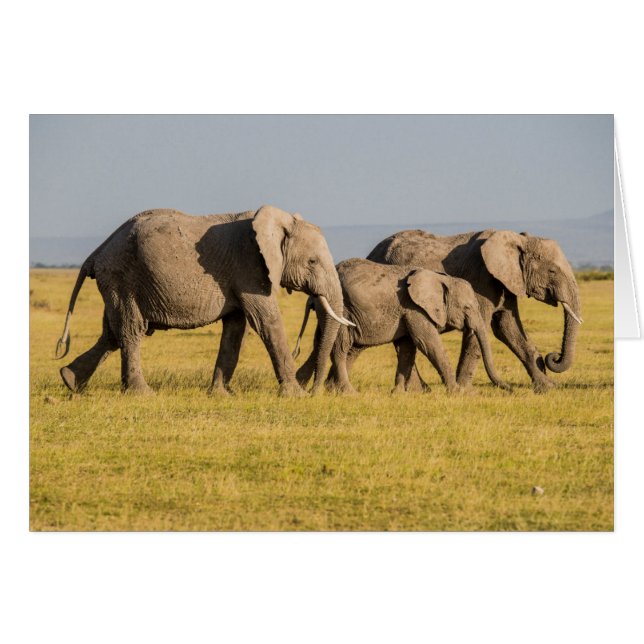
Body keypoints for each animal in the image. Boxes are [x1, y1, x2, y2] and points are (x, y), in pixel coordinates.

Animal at [55, 205, 353, 396]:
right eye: (312, 262)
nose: (314, 392)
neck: (278, 222)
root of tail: (98, 250)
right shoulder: (250, 267)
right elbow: (267, 322)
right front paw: (295, 396)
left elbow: (235, 329)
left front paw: (221, 395)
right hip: (122, 276)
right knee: (131, 330)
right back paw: (142, 394)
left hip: (117, 282)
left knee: (112, 333)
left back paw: (69, 381)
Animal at [294, 258, 510, 394]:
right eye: (467, 308)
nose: (509, 388)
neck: (441, 278)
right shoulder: (415, 309)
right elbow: (428, 343)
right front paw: (458, 392)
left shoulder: (408, 311)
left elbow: (407, 348)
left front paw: (398, 393)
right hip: (343, 310)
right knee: (340, 347)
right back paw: (346, 392)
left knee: (332, 346)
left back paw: (323, 388)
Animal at [367, 229, 582, 393]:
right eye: (552, 271)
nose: (553, 357)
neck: (517, 239)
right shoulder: (481, 280)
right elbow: (481, 331)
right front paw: (464, 390)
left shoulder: (505, 282)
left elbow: (508, 329)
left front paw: (548, 388)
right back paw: (419, 390)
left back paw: (421, 390)